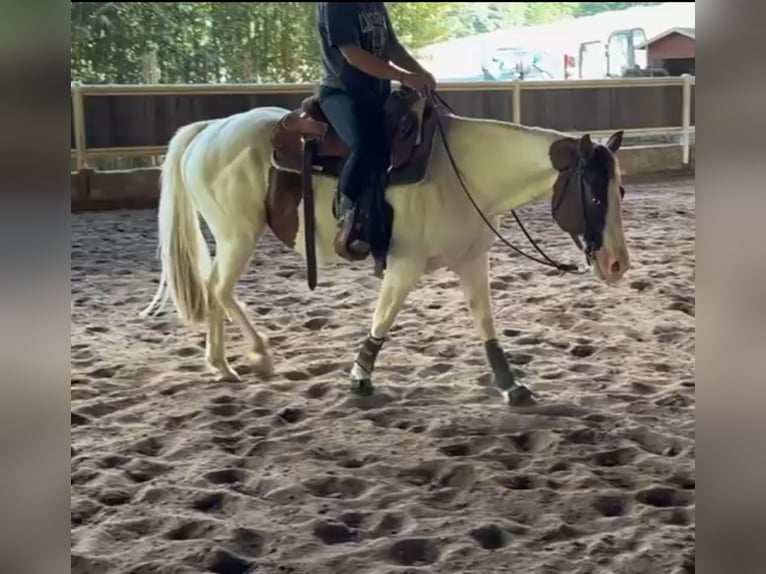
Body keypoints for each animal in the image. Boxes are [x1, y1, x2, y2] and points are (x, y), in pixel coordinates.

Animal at [141, 91, 630, 407]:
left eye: (621, 190)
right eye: (595, 197)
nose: (617, 264)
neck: (465, 172)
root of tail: (209, 130)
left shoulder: (472, 261)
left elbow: (486, 324)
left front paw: (512, 387)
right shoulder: (404, 265)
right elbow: (383, 317)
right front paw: (360, 378)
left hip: (232, 237)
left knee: (212, 287)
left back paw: (220, 364)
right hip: (237, 235)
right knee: (219, 288)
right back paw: (256, 357)